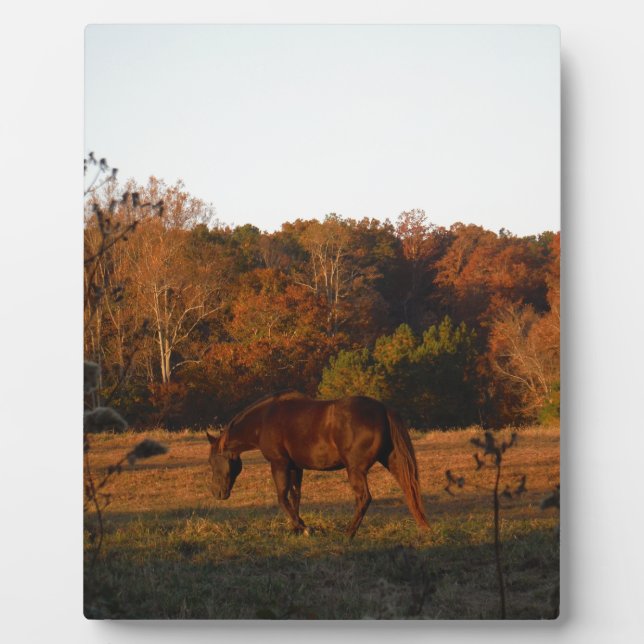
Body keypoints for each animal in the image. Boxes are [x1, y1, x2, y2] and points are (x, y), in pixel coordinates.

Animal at [206, 391, 430, 537]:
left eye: (211, 461)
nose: (217, 493)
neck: (264, 419)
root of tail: (383, 409)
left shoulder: (279, 464)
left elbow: (282, 498)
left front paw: (305, 527)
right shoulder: (295, 467)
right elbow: (295, 496)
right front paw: (296, 528)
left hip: (355, 470)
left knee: (364, 498)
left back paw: (348, 533)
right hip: (392, 462)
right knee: (409, 489)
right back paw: (423, 527)